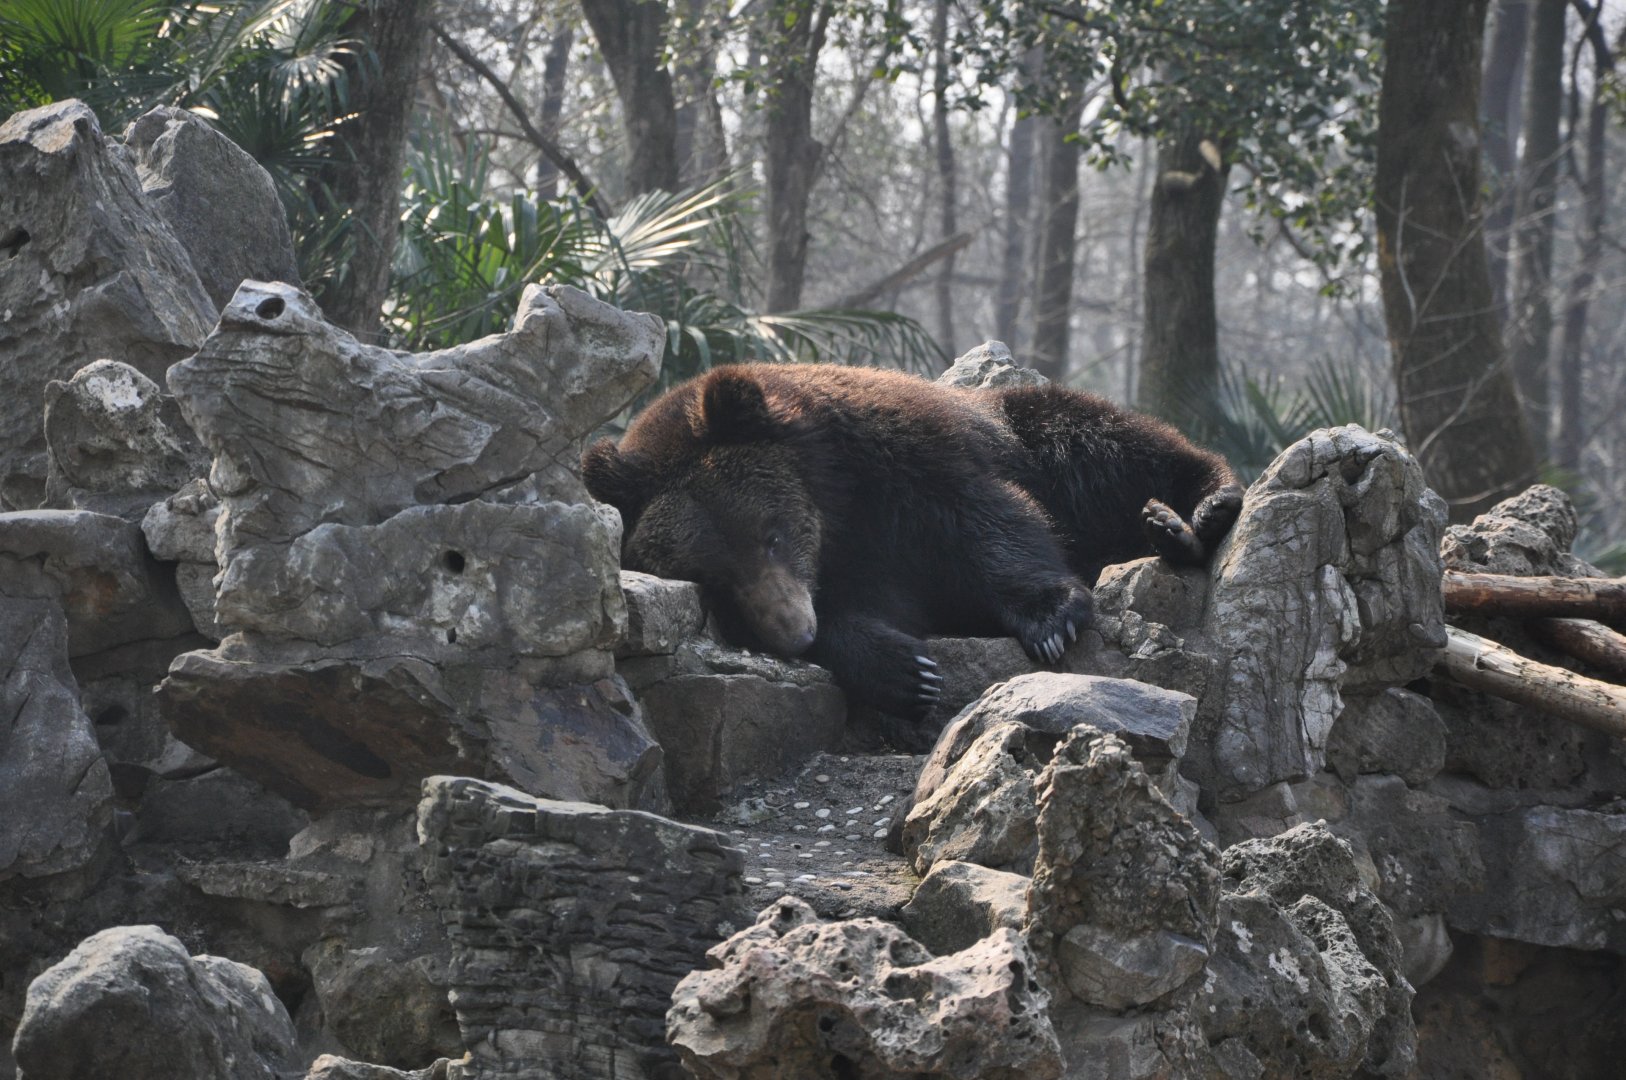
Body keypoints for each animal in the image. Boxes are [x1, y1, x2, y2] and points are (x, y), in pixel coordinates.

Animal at [582, 363, 1240, 722]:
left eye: (770, 535)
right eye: (714, 580)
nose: (793, 630)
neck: (837, 508)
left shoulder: (904, 462)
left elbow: (986, 520)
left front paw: (1051, 618)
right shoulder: (858, 564)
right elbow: (874, 616)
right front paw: (908, 673)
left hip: (1039, 429)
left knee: (1112, 444)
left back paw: (1189, 516)